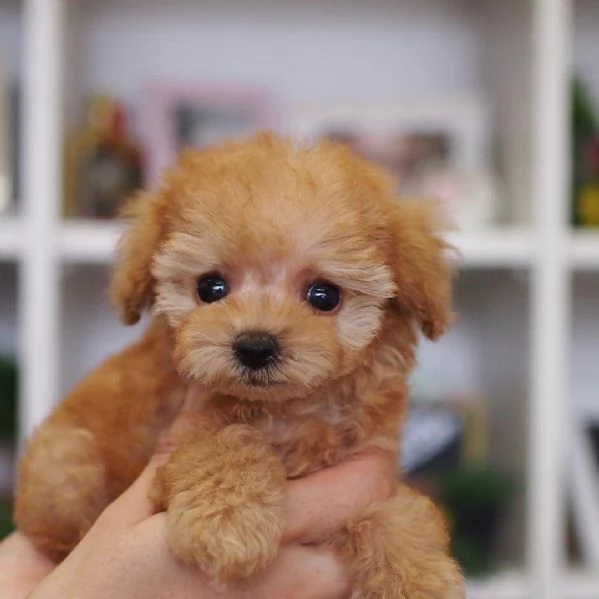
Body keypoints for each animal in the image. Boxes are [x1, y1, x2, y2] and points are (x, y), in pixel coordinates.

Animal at [12, 134, 464, 596]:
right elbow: (224, 438)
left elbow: (392, 508)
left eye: (324, 295)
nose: (255, 346)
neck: (289, 410)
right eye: (210, 287)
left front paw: (414, 574)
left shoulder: (365, 460)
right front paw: (227, 520)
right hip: (64, 472)